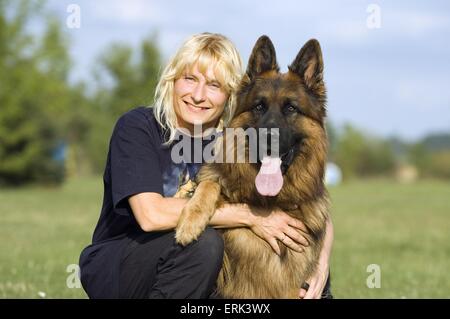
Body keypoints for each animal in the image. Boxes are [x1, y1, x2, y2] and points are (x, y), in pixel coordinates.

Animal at [174, 36, 328, 298]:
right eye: (259, 107)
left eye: (291, 108)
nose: (268, 137)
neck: (270, 202)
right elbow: (208, 184)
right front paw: (190, 221)